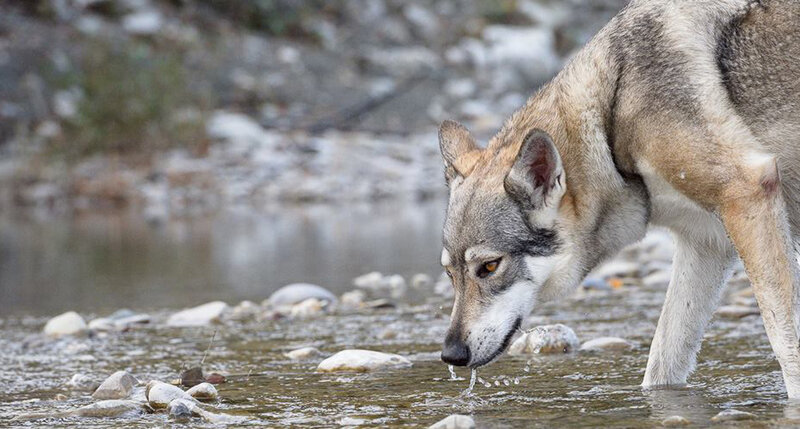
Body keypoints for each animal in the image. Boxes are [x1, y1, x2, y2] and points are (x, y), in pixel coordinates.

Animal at [437, 0, 800, 397]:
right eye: (450, 273)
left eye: (489, 267)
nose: (451, 354)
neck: (609, 119)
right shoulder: (707, 243)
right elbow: (661, 364)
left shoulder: (747, 193)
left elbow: (785, 344)